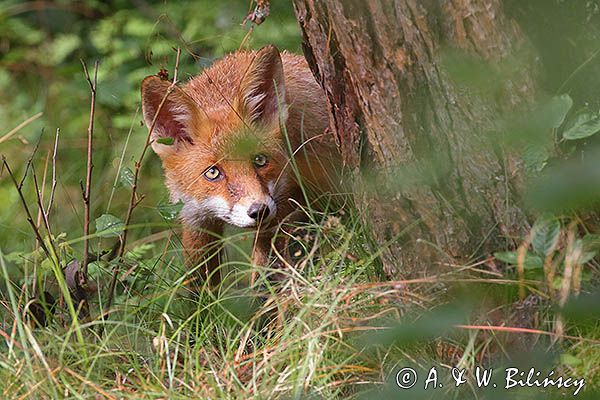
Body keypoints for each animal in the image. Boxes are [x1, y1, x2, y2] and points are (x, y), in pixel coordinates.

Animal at [139, 45, 338, 286]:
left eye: (260, 160)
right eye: (212, 173)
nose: (259, 211)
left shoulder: (282, 201)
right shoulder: (195, 218)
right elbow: (199, 281)